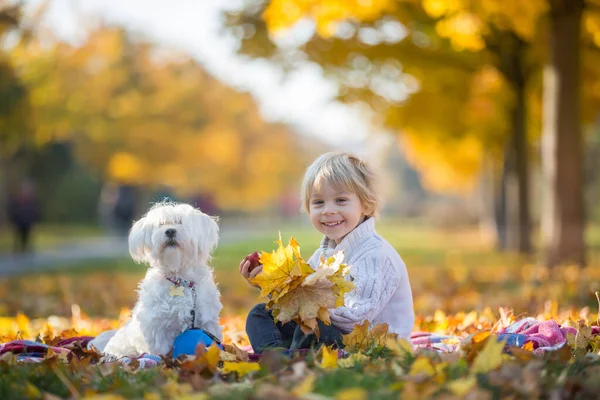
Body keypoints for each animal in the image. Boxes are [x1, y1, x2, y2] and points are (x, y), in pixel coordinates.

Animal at [91, 202, 225, 358]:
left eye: (180, 221)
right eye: (161, 224)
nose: (170, 231)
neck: (179, 279)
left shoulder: (207, 321)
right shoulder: (157, 328)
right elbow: (160, 351)